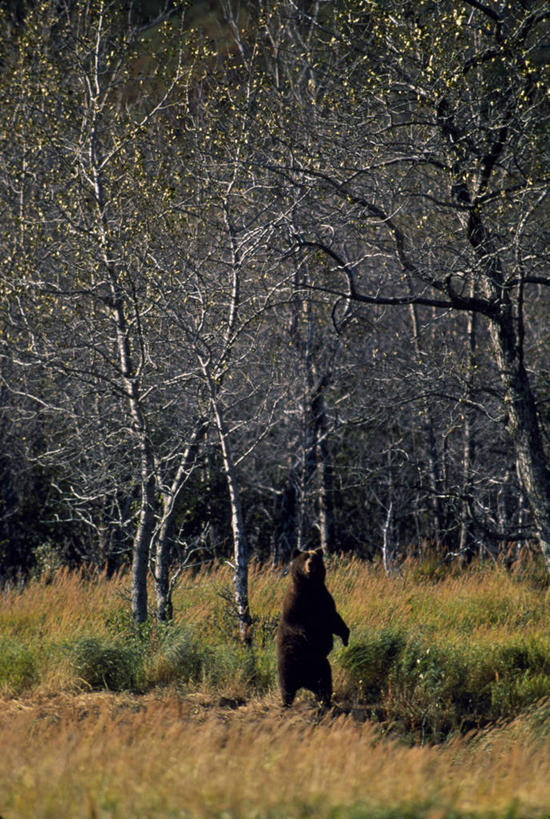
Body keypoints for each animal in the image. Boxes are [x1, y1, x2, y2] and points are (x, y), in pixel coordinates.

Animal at [278, 548, 352, 708]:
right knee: (286, 686)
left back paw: (325, 701)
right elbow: (295, 622)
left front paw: (345, 637)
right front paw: (310, 637)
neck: (310, 587)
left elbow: (334, 620)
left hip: (321, 667)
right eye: (305, 557)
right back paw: (286, 703)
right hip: (289, 662)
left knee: (324, 685)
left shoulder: (324, 599)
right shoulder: (295, 601)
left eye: (315, 558)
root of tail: (304, 682)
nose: (310, 564)